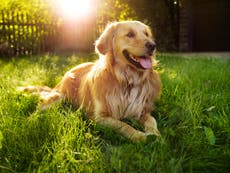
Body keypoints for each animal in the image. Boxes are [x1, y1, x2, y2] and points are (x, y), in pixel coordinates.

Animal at [21, 20, 162, 142]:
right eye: (130, 34)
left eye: (147, 34)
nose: (153, 45)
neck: (127, 80)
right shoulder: (99, 117)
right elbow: (123, 125)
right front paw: (139, 136)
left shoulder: (143, 111)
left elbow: (152, 121)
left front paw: (155, 135)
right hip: (58, 98)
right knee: (37, 110)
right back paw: (29, 123)